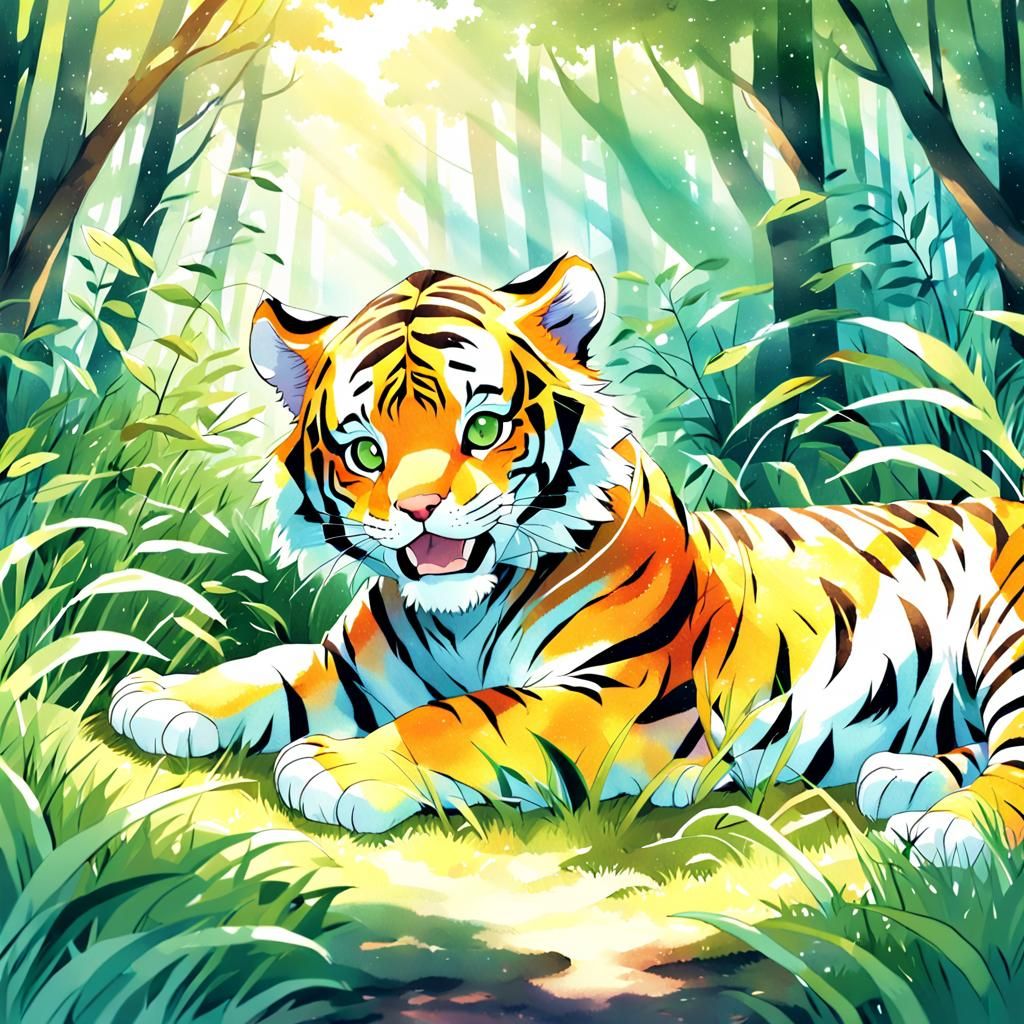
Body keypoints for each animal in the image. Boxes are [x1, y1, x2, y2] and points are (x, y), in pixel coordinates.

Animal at [109, 253, 1024, 866]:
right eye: (365, 450)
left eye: (482, 427)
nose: (418, 512)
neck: (461, 617)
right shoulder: (354, 668)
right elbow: (270, 669)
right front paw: (165, 697)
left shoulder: (605, 692)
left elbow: (463, 718)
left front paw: (337, 764)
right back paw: (901, 777)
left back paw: (946, 827)